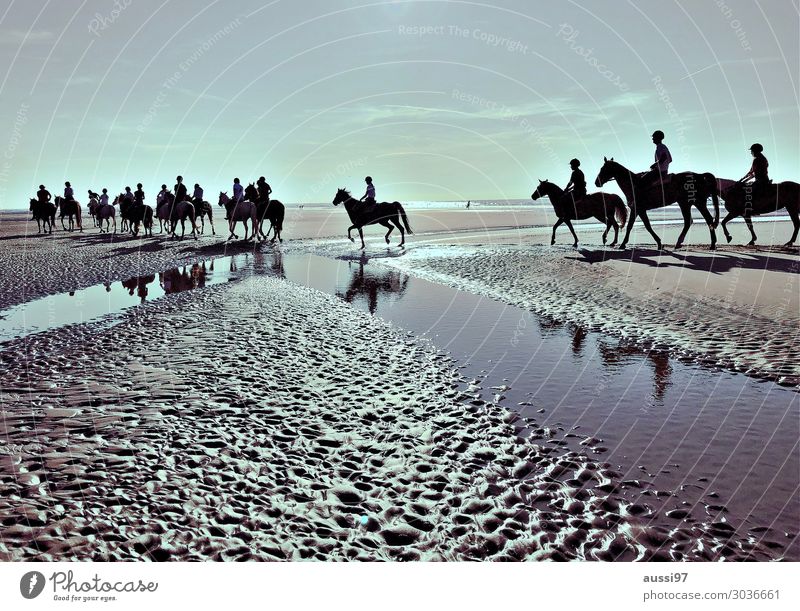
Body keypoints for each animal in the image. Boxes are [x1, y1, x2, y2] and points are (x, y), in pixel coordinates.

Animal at [592, 159, 720, 252]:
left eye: (604, 169)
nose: (596, 182)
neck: (633, 183)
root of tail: (700, 176)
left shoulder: (637, 209)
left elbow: (635, 226)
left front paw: (623, 244)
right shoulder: (640, 210)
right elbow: (645, 225)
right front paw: (659, 243)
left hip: (693, 203)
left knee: (702, 220)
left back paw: (710, 244)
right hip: (688, 203)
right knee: (696, 220)